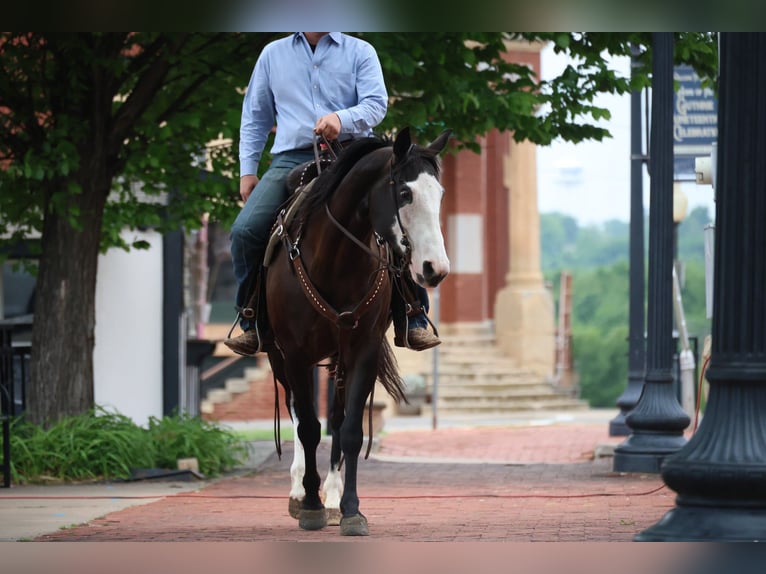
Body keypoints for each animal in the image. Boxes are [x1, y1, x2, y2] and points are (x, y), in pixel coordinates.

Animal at [263, 126, 451, 536]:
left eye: (440, 194)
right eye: (404, 193)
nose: (435, 268)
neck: (336, 259)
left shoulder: (363, 349)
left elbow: (349, 430)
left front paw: (349, 508)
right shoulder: (295, 353)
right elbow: (307, 427)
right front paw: (311, 504)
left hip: (338, 359)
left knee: (334, 416)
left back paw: (332, 496)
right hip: (280, 359)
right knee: (297, 413)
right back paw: (299, 492)